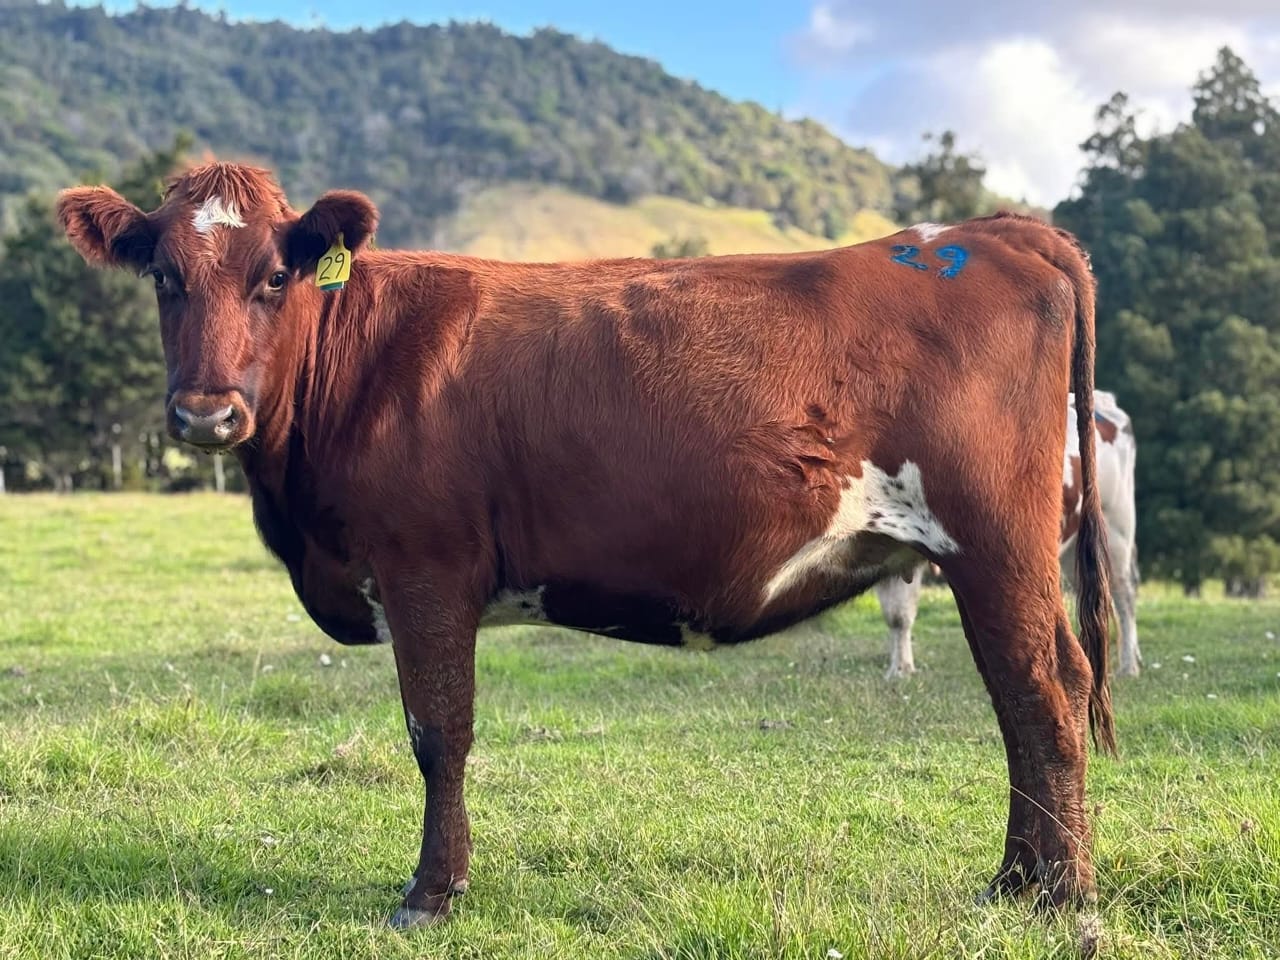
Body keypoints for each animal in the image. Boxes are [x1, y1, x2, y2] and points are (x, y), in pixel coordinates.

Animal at [878, 390, 1140, 678]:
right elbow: (895, 614)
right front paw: (898, 670)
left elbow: (900, 612)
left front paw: (901, 669)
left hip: (1117, 525)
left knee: (1123, 594)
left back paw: (1129, 666)